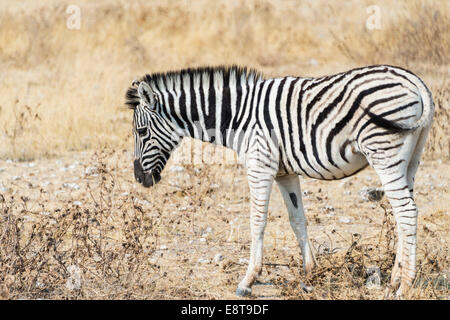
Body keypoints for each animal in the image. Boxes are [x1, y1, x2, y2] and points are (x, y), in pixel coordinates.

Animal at [125, 65, 434, 298]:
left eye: (141, 132)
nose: (140, 178)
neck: (236, 116)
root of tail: (415, 80)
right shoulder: (286, 172)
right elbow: (297, 219)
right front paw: (309, 274)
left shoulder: (260, 164)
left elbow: (257, 220)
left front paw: (248, 280)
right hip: (411, 158)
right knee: (402, 214)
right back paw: (395, 279)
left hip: (383, 151)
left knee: (407, 212)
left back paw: (405, 286)